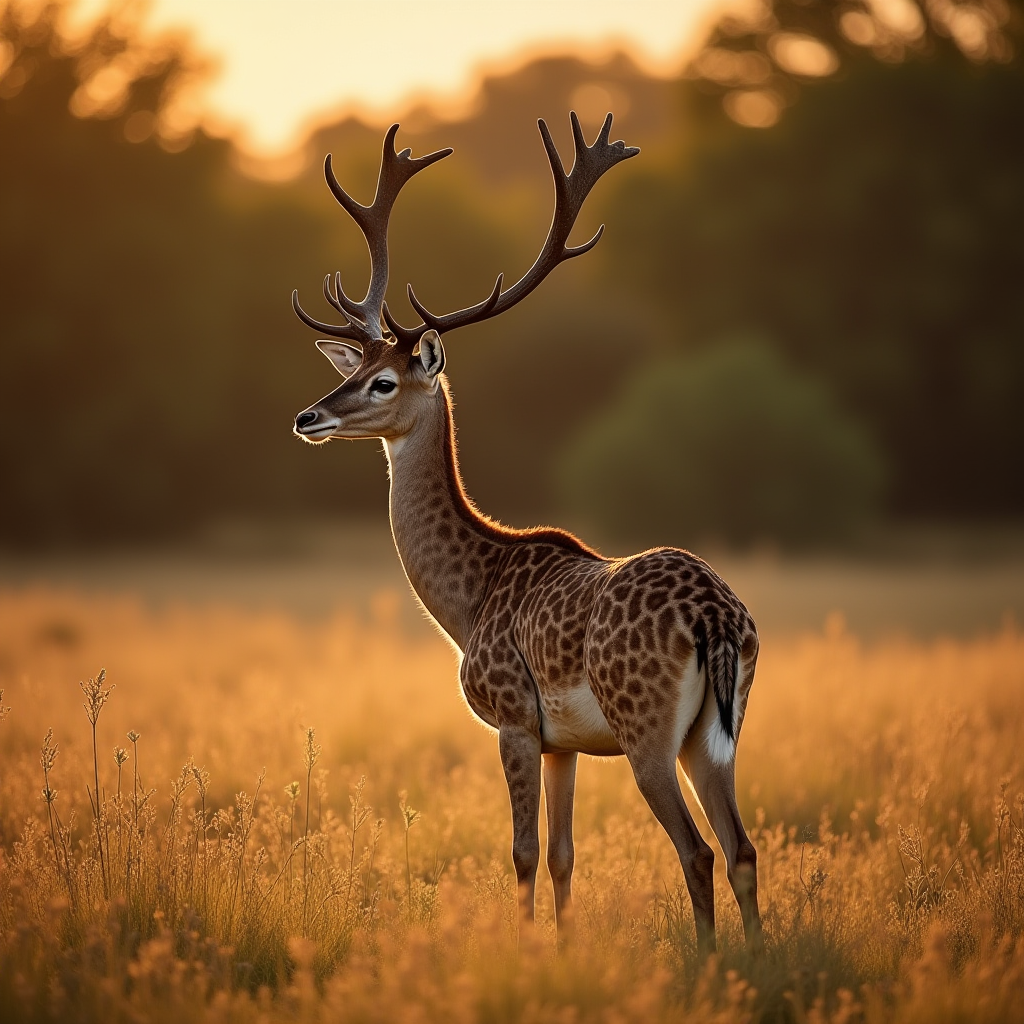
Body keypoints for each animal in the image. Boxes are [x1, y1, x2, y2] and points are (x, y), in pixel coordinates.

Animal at [292, 116, 765, 954]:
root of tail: (715, 616)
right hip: (715, 731)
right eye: (353, 366)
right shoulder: (564, 744)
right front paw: (564, 953)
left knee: (700, 850)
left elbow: (519, 851)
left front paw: (520, 952)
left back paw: (712, 963)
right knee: (743, 848)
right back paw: (762, 963)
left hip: (646, 730)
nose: (307, 416)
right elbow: (564, 854)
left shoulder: (512, 715)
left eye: (384, 381)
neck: (469, 599)